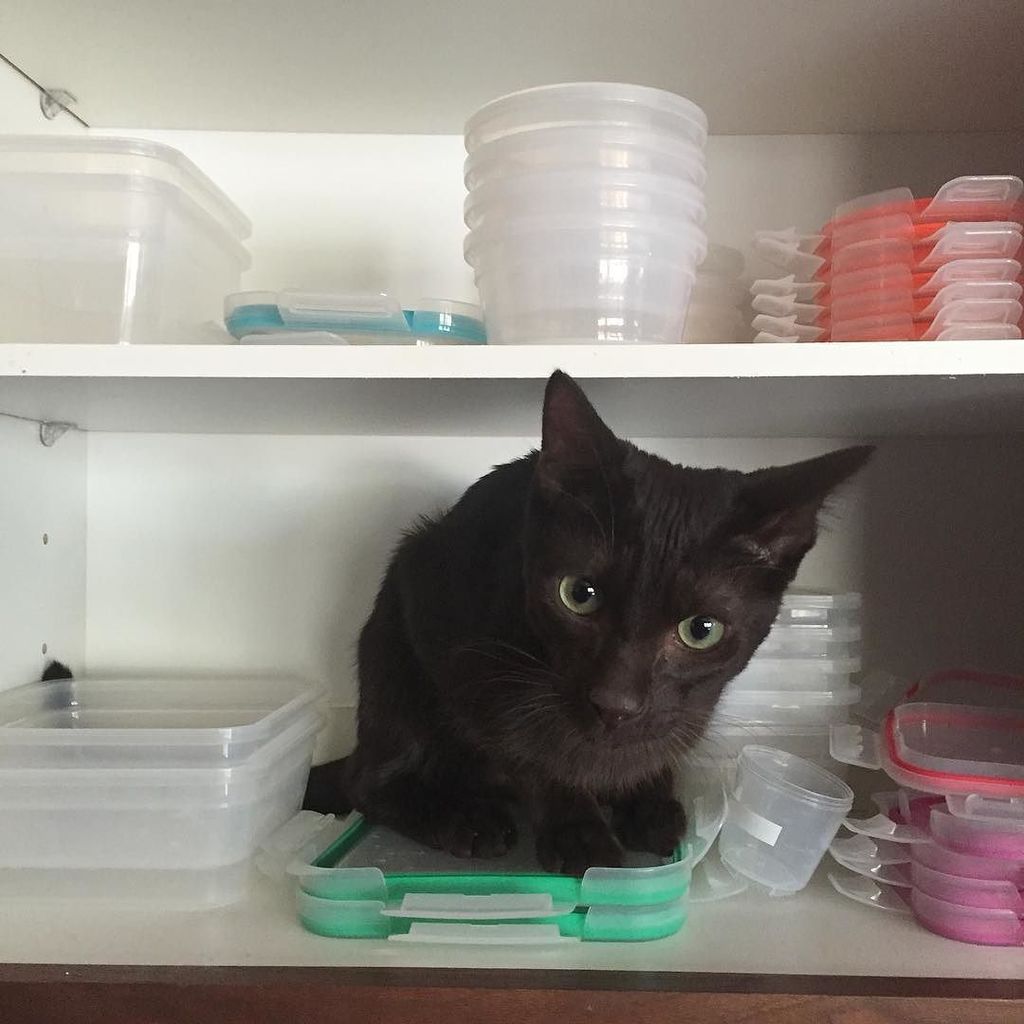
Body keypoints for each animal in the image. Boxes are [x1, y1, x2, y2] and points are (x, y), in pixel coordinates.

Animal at [305, 374, 872, 872]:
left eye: (701, 630)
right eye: (579, 595)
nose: (615, 704)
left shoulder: (688, 711)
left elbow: (660, 742)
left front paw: (649, 802)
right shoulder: (480, 673)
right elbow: (534, 751)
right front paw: (577, 830)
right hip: (396, 638)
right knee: (366, 779)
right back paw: (463, 815)